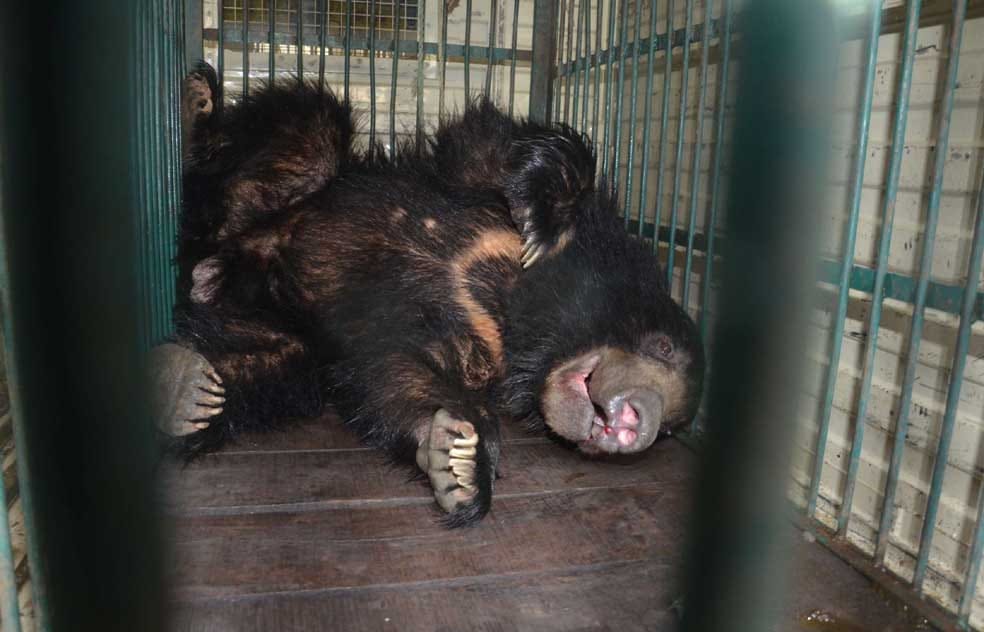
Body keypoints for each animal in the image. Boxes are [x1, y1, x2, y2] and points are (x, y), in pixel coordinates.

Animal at [149, 62, 705, 527]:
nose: (639, 422)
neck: (522, 323)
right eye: (661, 347)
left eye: (671, 429)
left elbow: (396, 374)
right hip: (276, 195)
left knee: (264, 366)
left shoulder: (473, 349)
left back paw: (187, 389)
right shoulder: (489, 194)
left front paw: (457, 461)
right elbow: (489, 143)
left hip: (284, 330)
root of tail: (222, 258)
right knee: (308, 124)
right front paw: (542, 214)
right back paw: (197, 105)